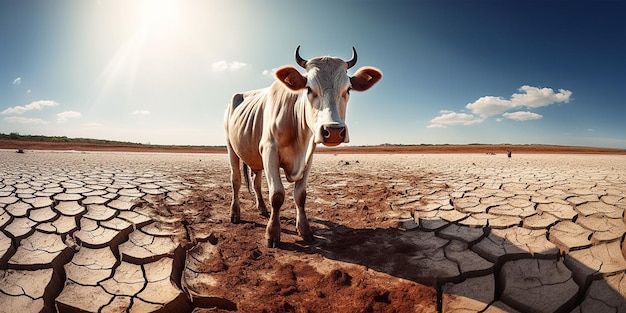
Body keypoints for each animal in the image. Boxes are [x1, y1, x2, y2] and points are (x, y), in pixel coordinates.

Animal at [224, 46, 380, 246]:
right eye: (308, 88)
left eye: (349, 88)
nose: (333, 130)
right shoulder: (269, 151)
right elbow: (277, 195)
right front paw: (272, 233)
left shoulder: (308, 156)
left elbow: (300, 195)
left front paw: (304, 230)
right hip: (231, 147)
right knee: (236, 180)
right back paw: (235, 214)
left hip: (255, 156)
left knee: (256, 181)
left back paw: (262, 209)